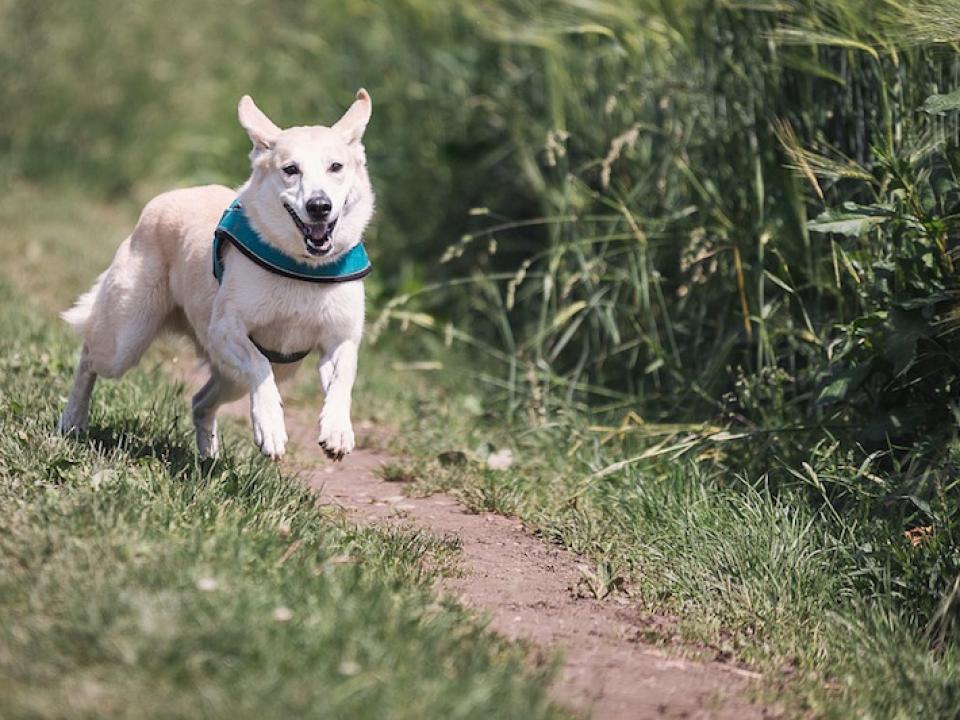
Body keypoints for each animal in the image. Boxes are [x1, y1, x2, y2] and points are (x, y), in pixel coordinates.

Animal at [54, 90, 374, 462]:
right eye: (290, 170)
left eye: (336, 167)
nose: (319, 206)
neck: (302, 267)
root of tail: (166, 198)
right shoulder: (225, 329)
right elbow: (259, 365)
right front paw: (271, 428)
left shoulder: (340, 338)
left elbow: (343, 378)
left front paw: (337, 430)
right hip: (125, 339)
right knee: (89, 356)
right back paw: (72, 420)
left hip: (235, 376)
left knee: (200, 401)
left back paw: (208, 457)